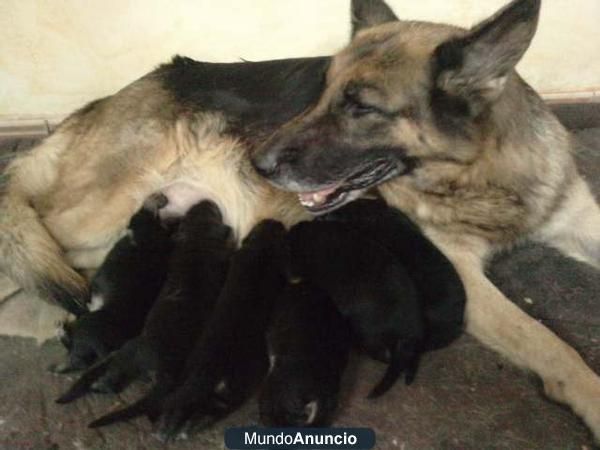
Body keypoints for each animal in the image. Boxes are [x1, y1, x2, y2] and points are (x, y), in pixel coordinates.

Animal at [55, 202, 234, 424]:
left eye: (213, 213)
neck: (197, 244)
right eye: (201, 212)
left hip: (102, 338)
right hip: (125, 355)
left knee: (78, 354)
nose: (207, 202)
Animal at [154, 220, 288, 442]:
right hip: (232, 388)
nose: (276, 222)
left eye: (263, 227)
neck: (260, 251)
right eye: (278, 230)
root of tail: (205, 374)